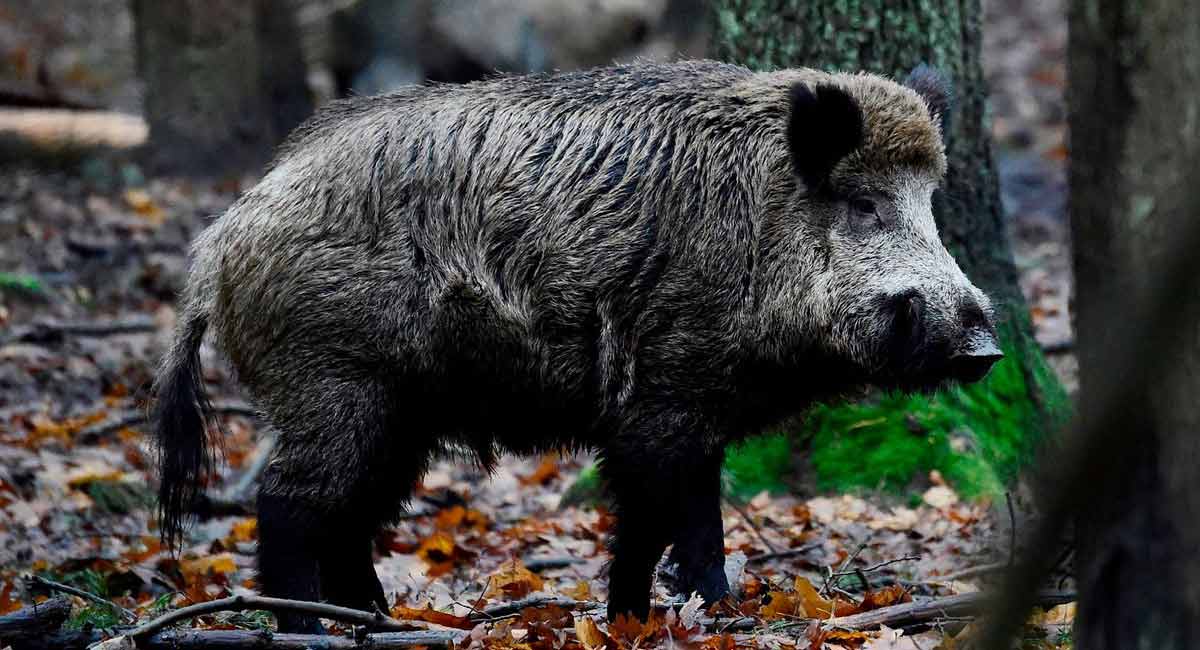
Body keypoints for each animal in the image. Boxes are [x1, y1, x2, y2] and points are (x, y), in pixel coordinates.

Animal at [152, 60, 1001, 632]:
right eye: (862, 204)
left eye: (930, 202)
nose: (985, 346)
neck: (758, 231)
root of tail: (220, 244)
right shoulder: (662, 401)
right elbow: (661, 518)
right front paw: (662, 617)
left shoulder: (688, 412)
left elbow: (685, 518)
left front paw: (690, 613)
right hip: (335, 384)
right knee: (288, 503)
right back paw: (309, 629)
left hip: (396, 415)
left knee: (351, 516)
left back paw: (380, 619)